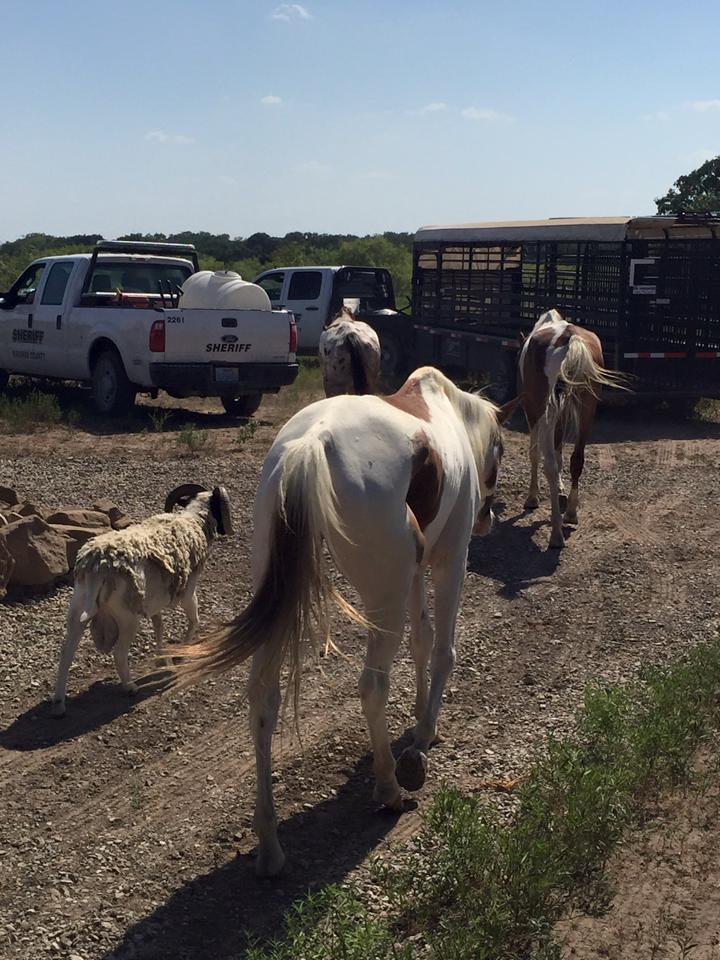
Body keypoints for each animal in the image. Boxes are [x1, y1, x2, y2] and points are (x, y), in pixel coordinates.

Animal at [52, 484, 232, 716]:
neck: (194, 520)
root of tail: (97, 567)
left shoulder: (154, 604)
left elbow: (159, 626)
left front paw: (162, 659)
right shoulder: (188, 593)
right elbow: (194, 621)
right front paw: (180, 656)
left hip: (77, 609)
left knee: (66, 651)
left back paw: (59, 705)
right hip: (127, 618)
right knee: (119, 653)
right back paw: (130, 687)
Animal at [172, 368, 516, 876]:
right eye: (501, 449)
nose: (487, 520)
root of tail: (312, 443)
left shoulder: (414, 574)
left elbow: (421, 638)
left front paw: (421, 717)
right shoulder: (448, 562)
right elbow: (441, 649)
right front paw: (423, 736)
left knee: (263, 702)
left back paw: (270, 844)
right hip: (386, 595)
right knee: (372, 685)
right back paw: (390, 786)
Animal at [520, 308, 620, 548]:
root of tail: (570, 338)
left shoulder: (532, 409)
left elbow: (535, 454)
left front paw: (532, 497)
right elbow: (561, 455)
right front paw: (561, 491)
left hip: (545, 408)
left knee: (548, 463)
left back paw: (556, 534)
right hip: (586, 409)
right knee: (577, 459)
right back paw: (571, 513)